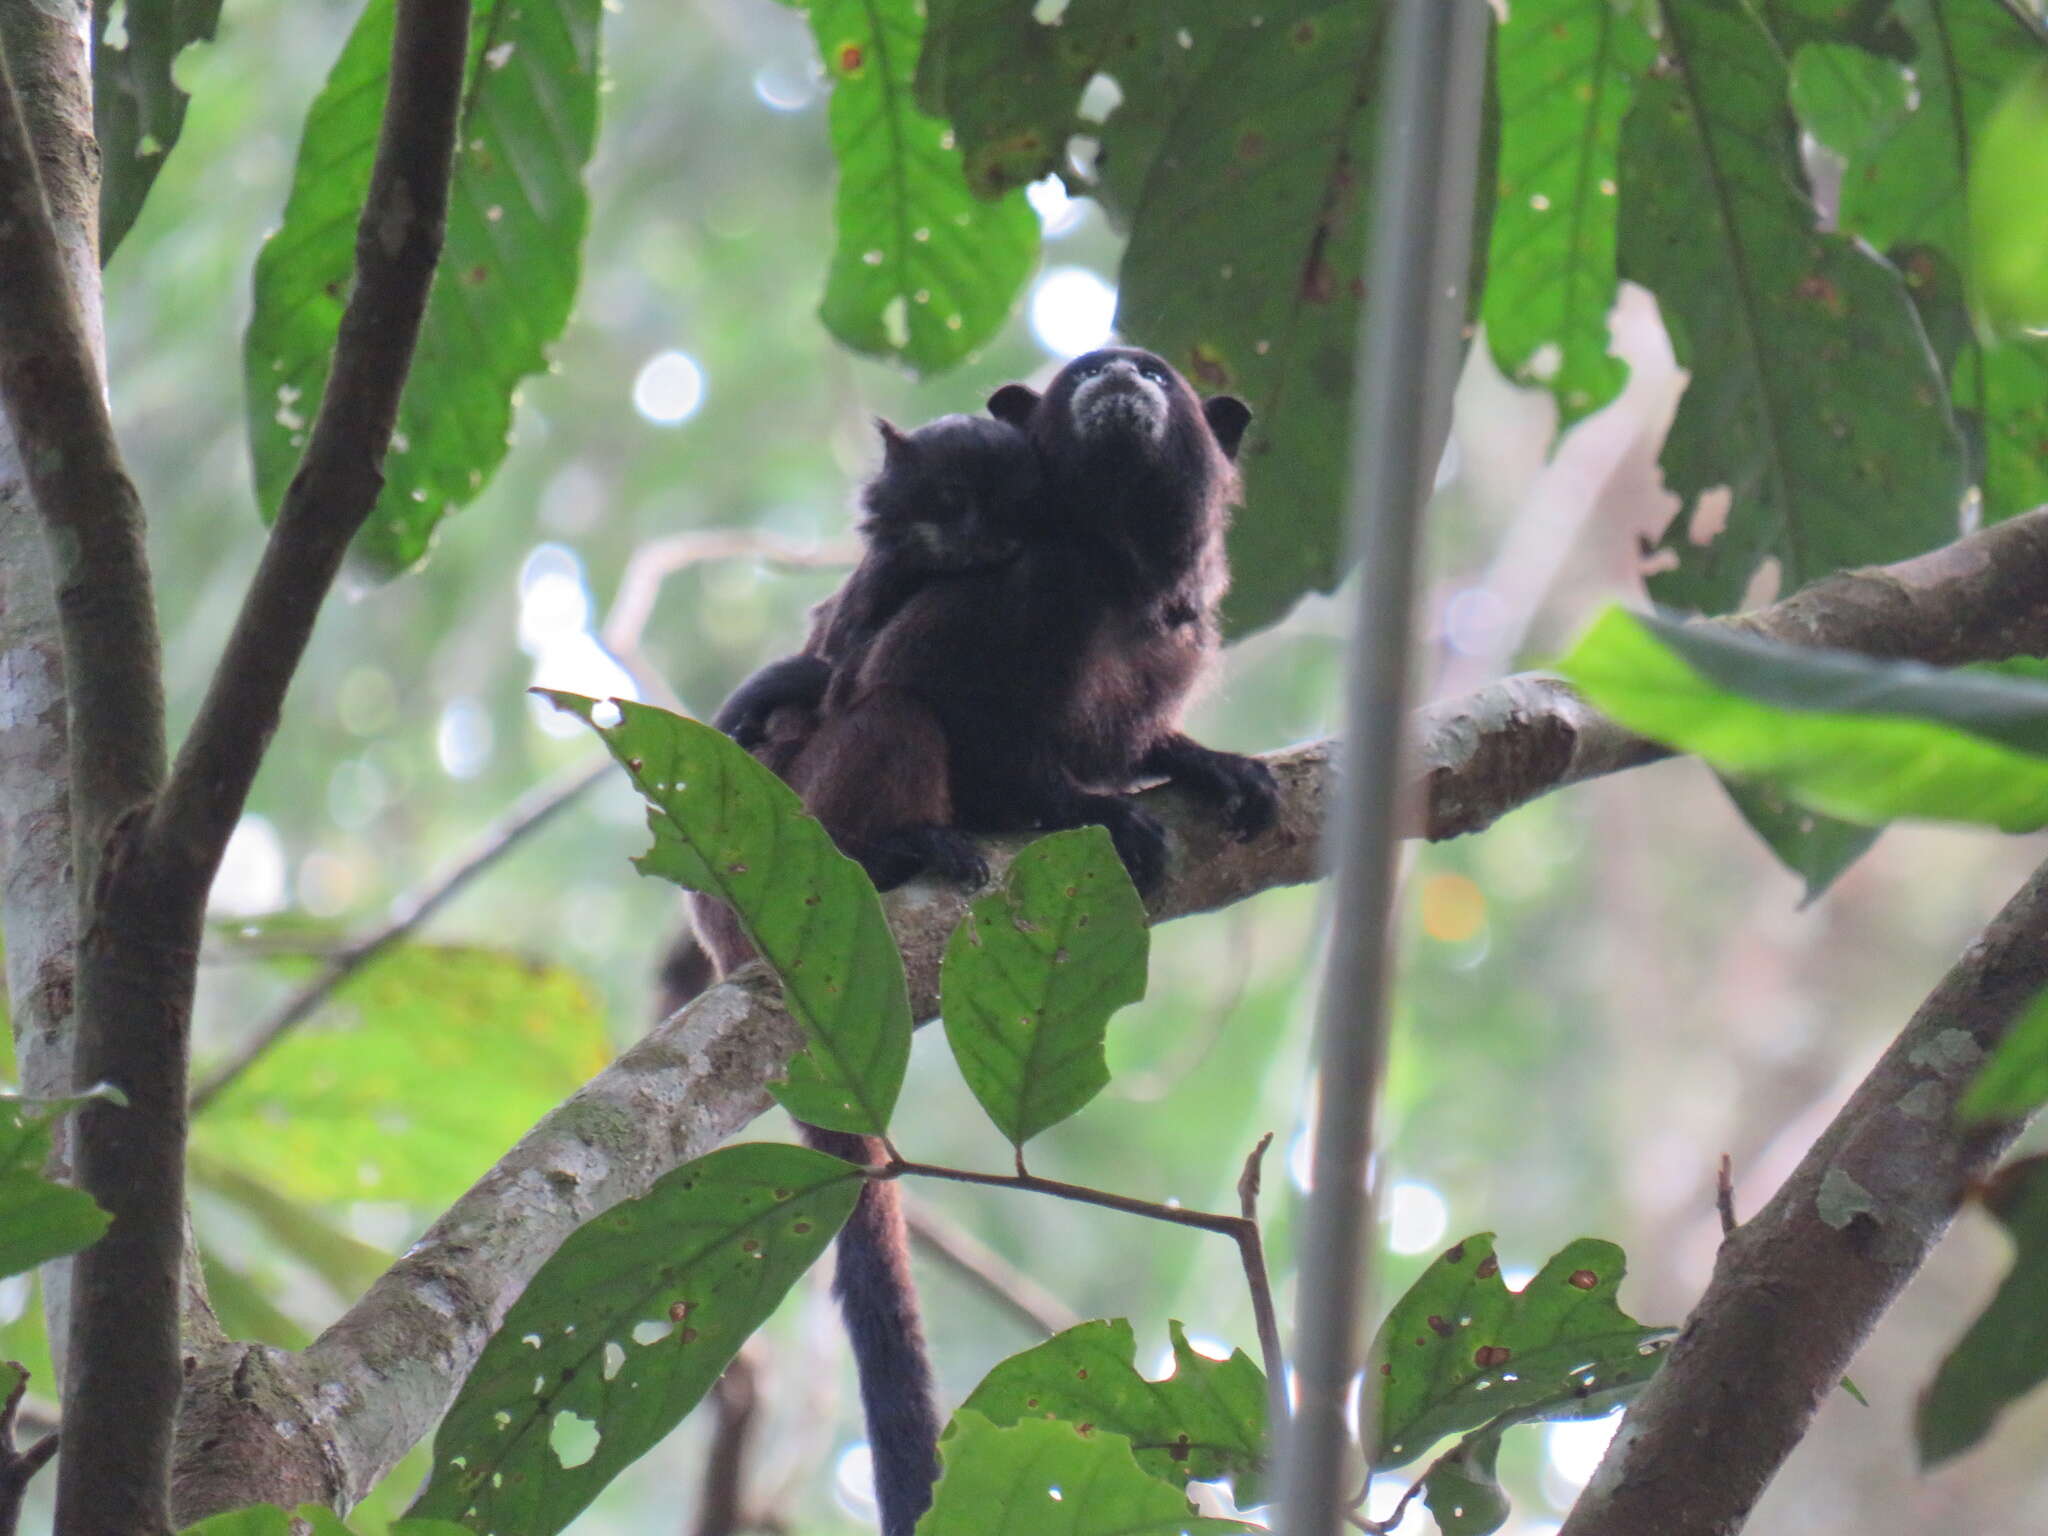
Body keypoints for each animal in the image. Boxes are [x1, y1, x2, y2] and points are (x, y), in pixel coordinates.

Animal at [663, 348, 1269, 1536]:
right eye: (1091, 367)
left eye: (1155, 371)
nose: (1121, 370)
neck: (1112, 569)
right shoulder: (1017, 586)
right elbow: (920, 693)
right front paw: (1092, 811)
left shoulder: (1182, 628)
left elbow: (1138, 732)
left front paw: (1202, 761)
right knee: (888, 714)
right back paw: (893, 847)